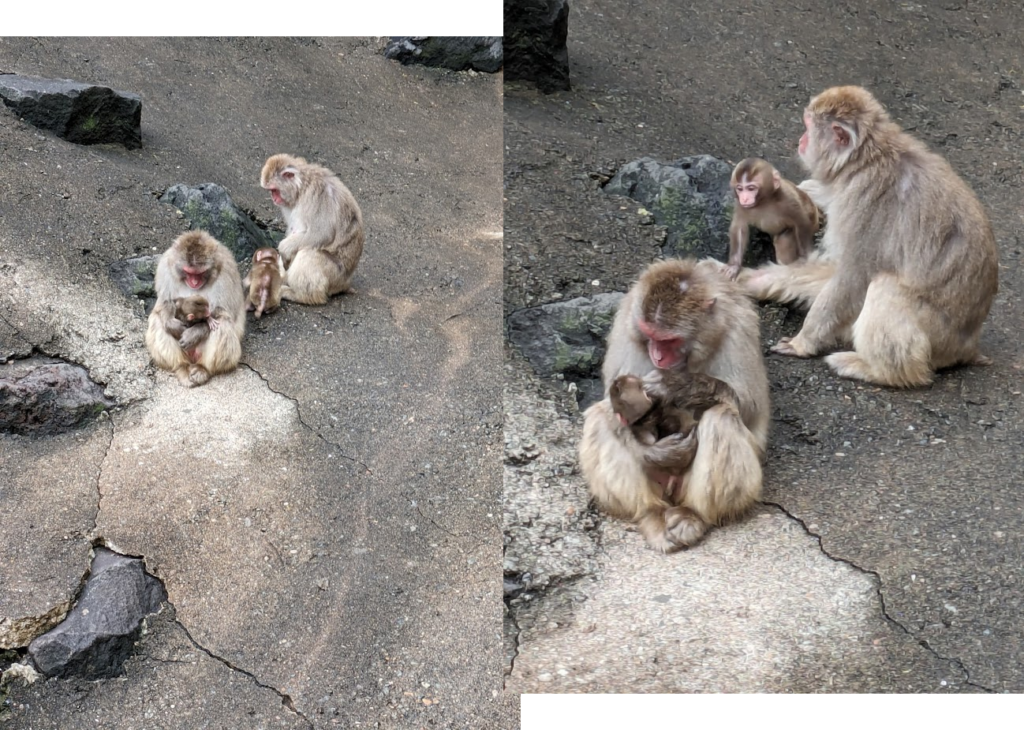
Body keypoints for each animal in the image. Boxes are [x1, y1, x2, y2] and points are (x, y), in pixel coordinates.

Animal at [144, 230, 245, 387]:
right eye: (188, 272)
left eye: (200, 273)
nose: (194, 282)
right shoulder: (166, 267)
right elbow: (165, 302)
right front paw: (173, 325)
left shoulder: (227, 271)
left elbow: (222, 311)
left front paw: (194, 333)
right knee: (157, 320)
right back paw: (182, 366)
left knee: (223, 323)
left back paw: (203, 369)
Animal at [260, 153, 364, 305]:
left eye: (274, 190)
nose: (273, 198)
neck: (302, 188)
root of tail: (345, 283)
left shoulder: (318, 194)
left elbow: (322, 233)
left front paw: (283, 247)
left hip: (335, 275)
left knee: (308, 253)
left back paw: (300, 295)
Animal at [581, 259, 770, 548]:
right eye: (649, 334)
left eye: (670, 340)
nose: (657, 356)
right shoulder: (626, 322)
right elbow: (613, 402)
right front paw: (658, 452)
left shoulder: (740, 329)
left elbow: (749, 408)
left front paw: (678, 385)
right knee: (600, 416)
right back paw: (651, 511)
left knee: (721, 416)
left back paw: (693, 515)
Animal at [741, 85, 995, 387]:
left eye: (808, 126)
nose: (801, 140)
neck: (863, 160)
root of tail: (968, 346)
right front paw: (755, 280)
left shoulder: (863, 205)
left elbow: (853, 278)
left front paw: (803, 342)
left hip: (938, 339)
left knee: (884, 285)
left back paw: (881, 371)